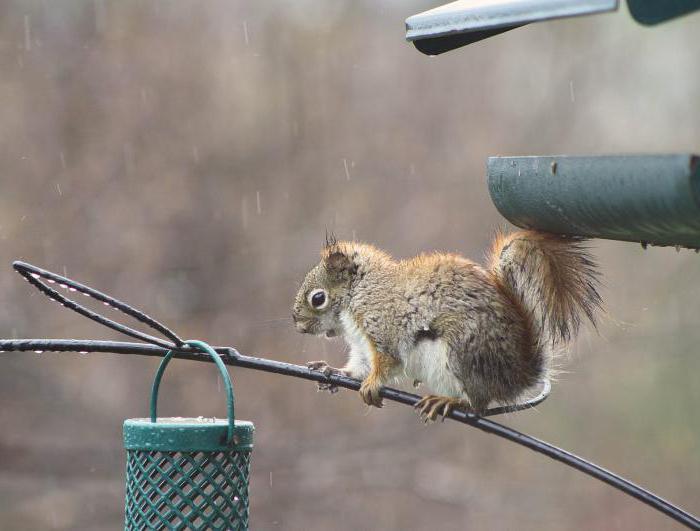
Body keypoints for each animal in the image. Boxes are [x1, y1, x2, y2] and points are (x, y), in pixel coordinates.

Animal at [292, 231, 600, 422]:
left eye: (317, 298)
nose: (299, 326)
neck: (361, 290)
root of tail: (516, 376)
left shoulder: (383, 326)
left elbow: (387, 362)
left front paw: (372, 384)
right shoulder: (362, 347)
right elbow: (358, 367)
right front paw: (333, 371)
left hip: (461, 353)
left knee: (479, 405)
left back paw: (452, 402)